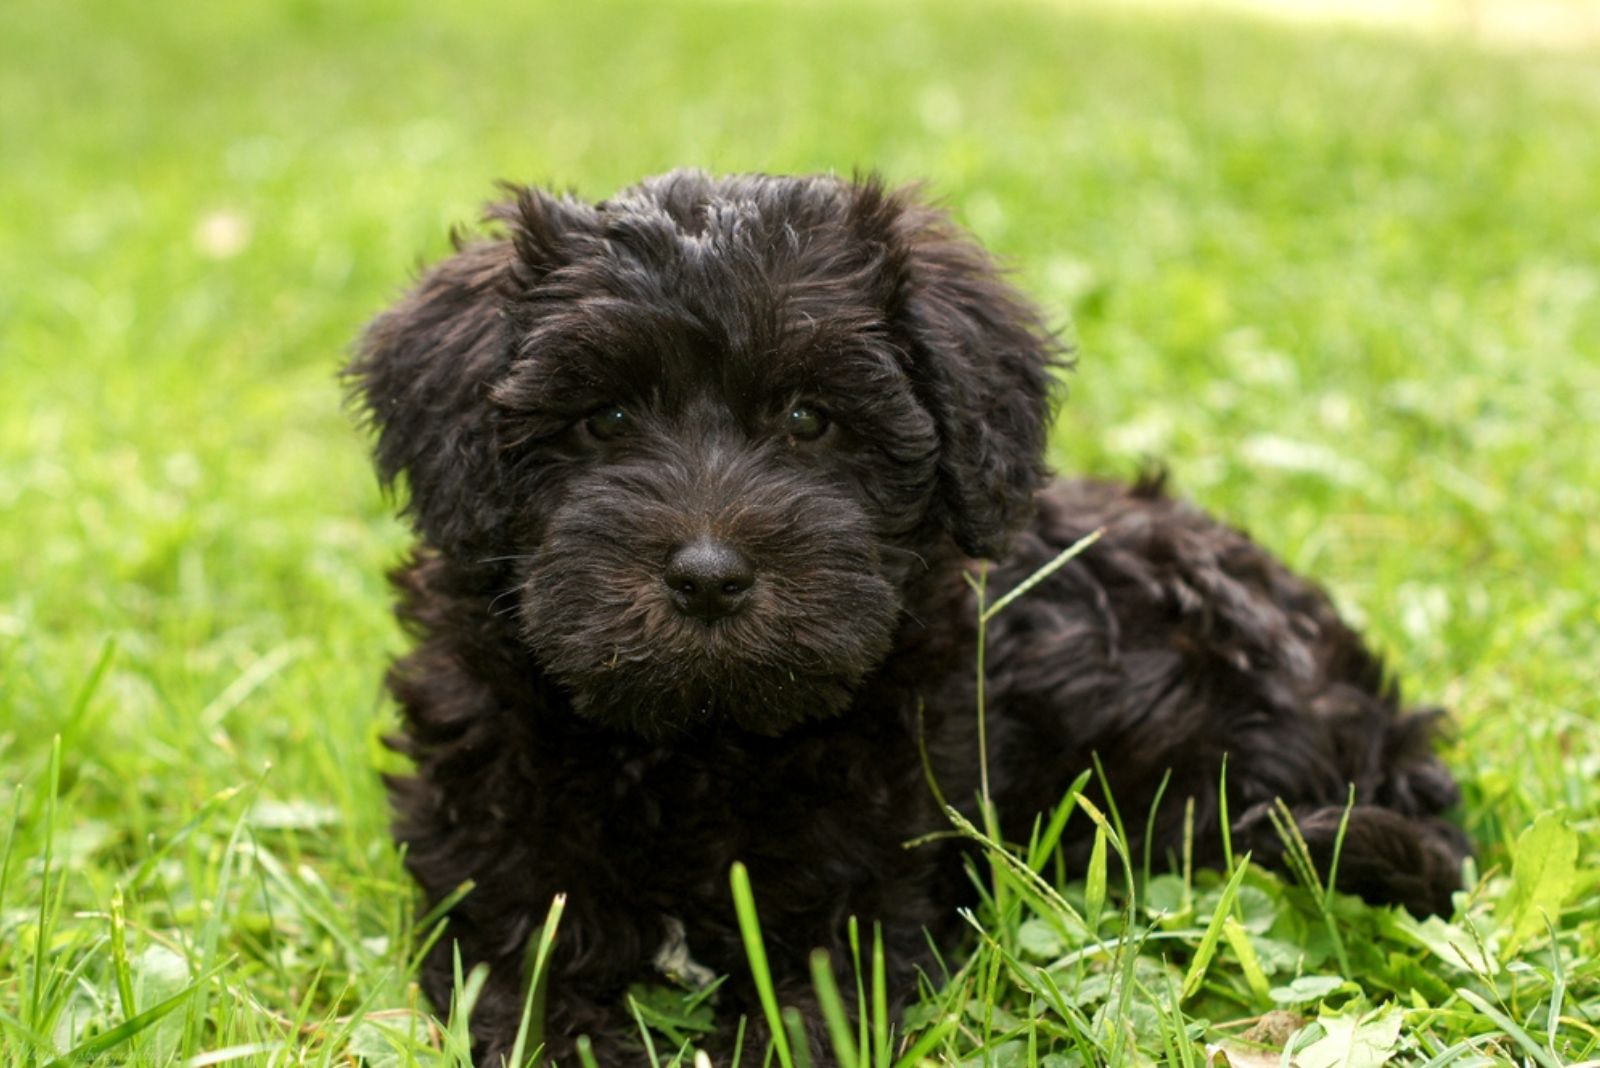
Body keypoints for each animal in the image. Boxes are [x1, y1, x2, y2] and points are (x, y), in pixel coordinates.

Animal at [344, 171, 1465, 1061]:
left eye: (808, 419)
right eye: (604, 420)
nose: (707, 576)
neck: (697, 744)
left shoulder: (872, 885)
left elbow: (809, 1008)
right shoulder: (491, 864)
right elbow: (530, 984)